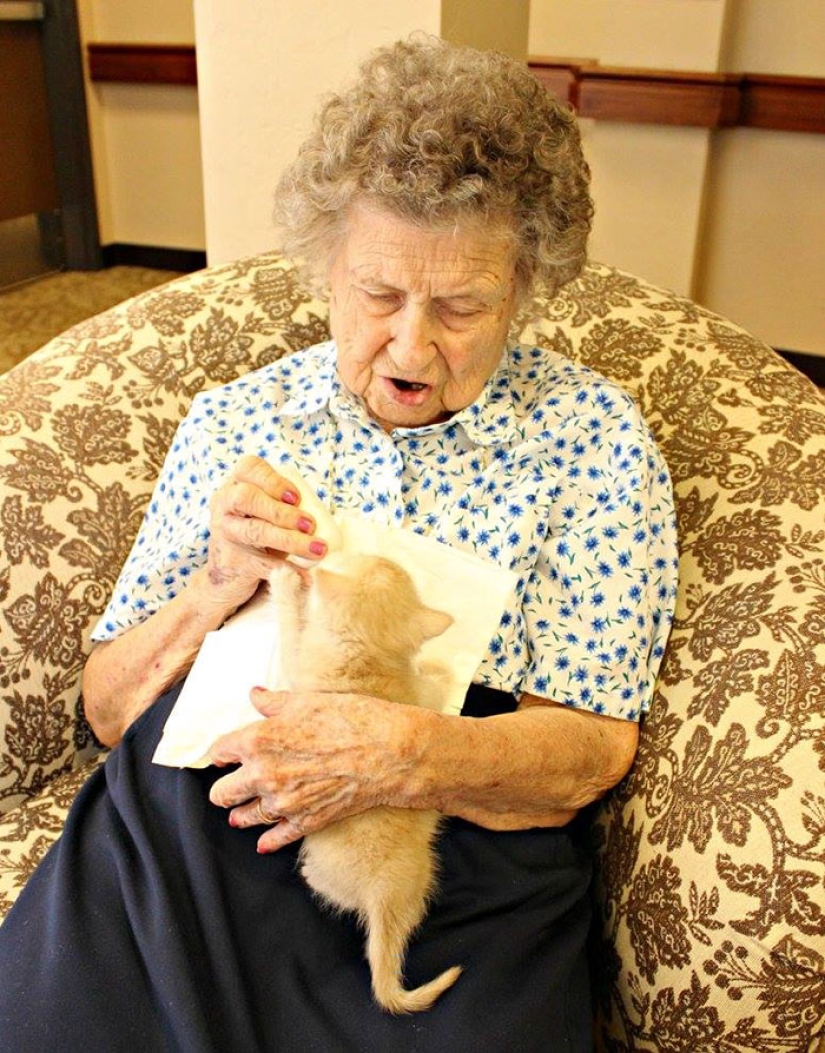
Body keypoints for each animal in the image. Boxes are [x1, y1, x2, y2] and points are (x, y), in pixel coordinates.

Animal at [269, 560, 457, 1010]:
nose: (317, 562)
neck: (366, 662)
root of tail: (381, 895)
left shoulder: (295, 675)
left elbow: (290, 627)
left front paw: (285, 585)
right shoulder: (421, 704)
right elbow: (434, 690)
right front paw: (439, 670)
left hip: (329, 873)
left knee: (325, 889)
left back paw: (308, 875)